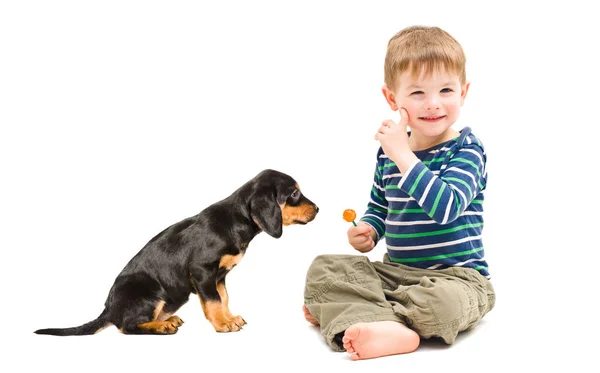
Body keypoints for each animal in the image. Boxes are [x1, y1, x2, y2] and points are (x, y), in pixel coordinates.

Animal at [35, 169, 318, 334]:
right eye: (294, 193)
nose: (318, 208)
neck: (235, 221)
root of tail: (108, 307)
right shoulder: (203, 271)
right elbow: (213, 302)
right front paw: (222, 324)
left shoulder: (220, 276)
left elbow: (224, 298)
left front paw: (230, 318)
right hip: (149, 293)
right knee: (125, 326)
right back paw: (162, 326)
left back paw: (167, 320)